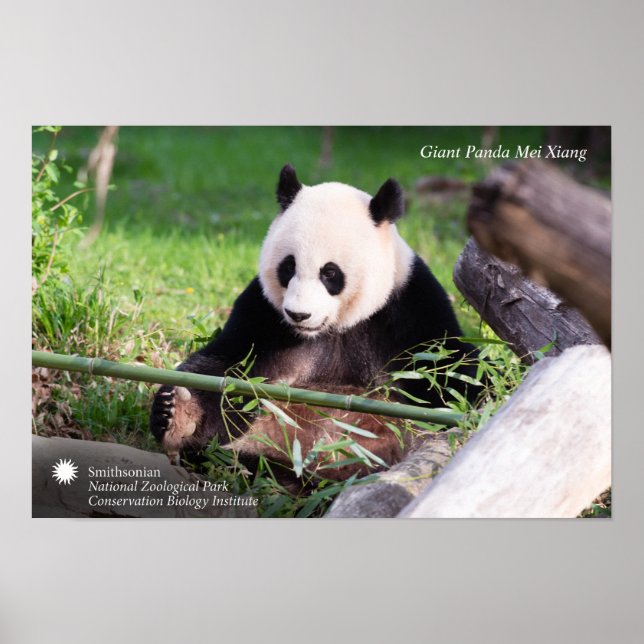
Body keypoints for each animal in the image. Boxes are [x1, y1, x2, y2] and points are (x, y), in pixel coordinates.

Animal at [150, 165, 479, 480]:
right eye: (288, 266)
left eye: (330, 273)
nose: (299, 315)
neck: (334, 327)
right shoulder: (264, 314)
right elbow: (228, 368)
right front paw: (178, 413)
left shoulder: (408, 311)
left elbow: (452, 375)